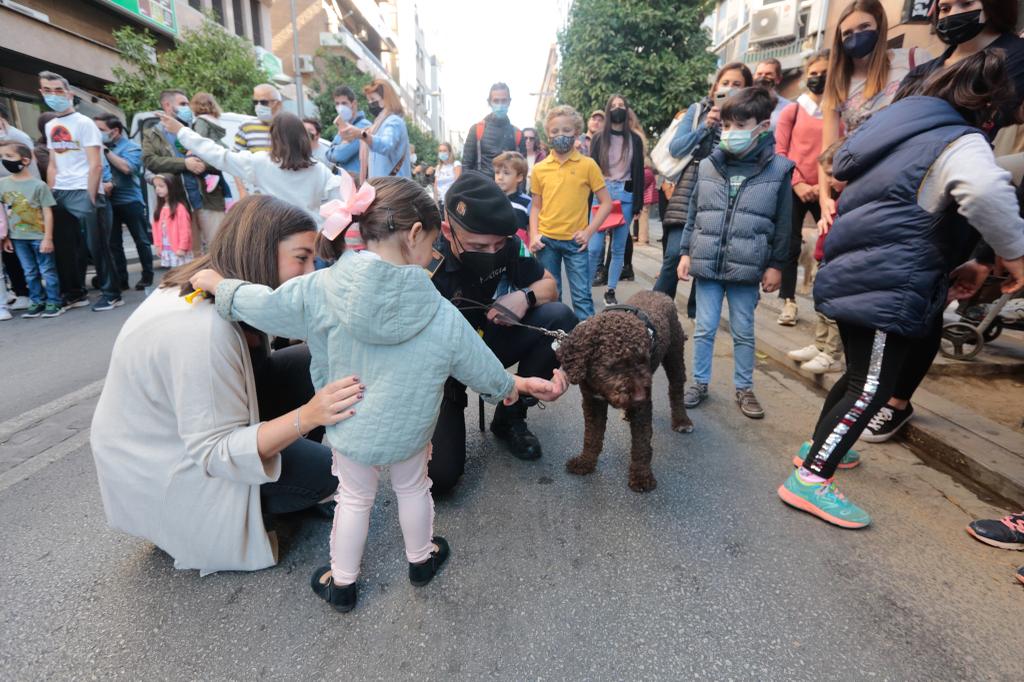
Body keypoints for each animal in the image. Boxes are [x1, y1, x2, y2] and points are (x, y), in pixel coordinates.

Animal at [557, 286, 692, 489]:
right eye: (614, 366)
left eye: (643, 360)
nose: (639, 397)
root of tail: (658, 292)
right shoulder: (592, 401)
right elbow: (592, 436)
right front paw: (585, 462)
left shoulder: (643, 407)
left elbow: (641, 443)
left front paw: (642, 476)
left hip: (675, 356)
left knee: (676, 389)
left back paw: (682, 421)